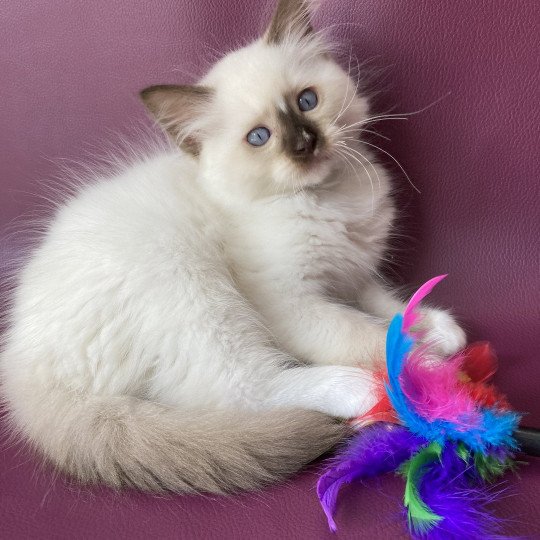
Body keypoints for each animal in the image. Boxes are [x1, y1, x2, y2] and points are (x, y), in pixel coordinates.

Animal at [0, 0, 464, 494]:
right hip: (195, 291)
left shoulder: (352, 275)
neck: (327, 199)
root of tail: (20, 365)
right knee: (242, 389)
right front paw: (432, 369)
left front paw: (439, 331)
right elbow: (368, 332)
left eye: (307, 101)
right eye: (259, 138)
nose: (305, 143)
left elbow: (390, 307)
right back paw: (354, 388)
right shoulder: (292, 304)